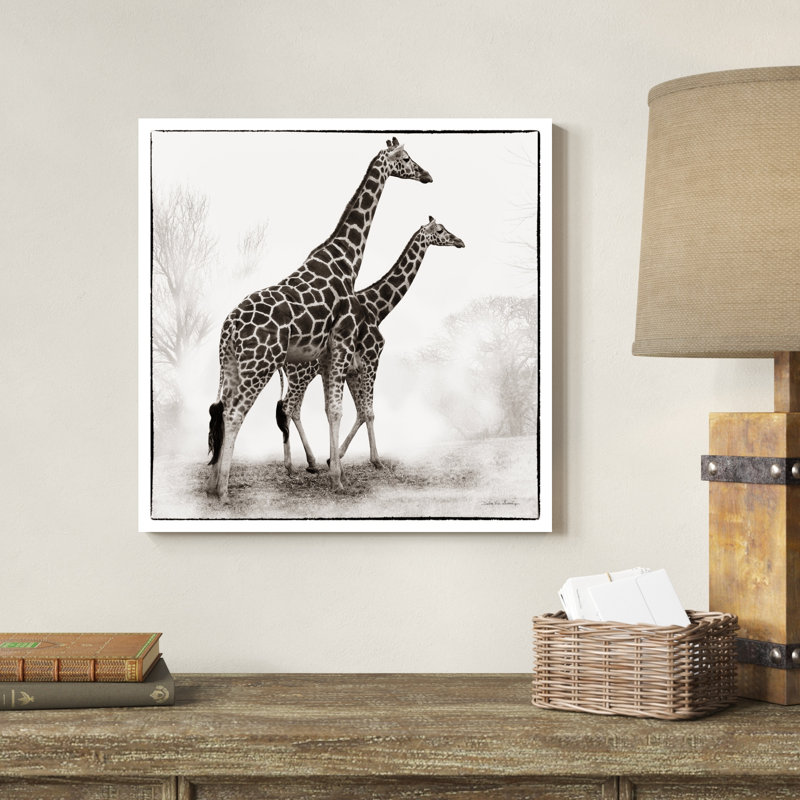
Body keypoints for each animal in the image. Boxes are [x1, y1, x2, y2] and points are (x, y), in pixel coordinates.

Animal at [207, 137, 432, 501]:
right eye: (407, 158)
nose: (427, 175)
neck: (347, 259)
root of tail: (228, 329)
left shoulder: (330, 354)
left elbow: (333, 409)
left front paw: (332, 469)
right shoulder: (342, 343)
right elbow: (340, 409)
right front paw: (337, 477)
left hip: (233, 365)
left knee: (222, 409)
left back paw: (212, 484)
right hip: (260, 365)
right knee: (236, 412)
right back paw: (225, 490)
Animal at [277, 216, 465, 474]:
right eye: (440, 230)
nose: (460, 241)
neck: (378, 308)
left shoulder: (353, 369)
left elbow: (360, 412)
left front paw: (334, 458)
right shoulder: (371, 358)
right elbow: (369, 412)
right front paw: (375, 460)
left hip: (301, 375)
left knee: (294, 408)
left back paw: (311, 462)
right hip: (301, 374)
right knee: (288, 407)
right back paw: (290, 464)